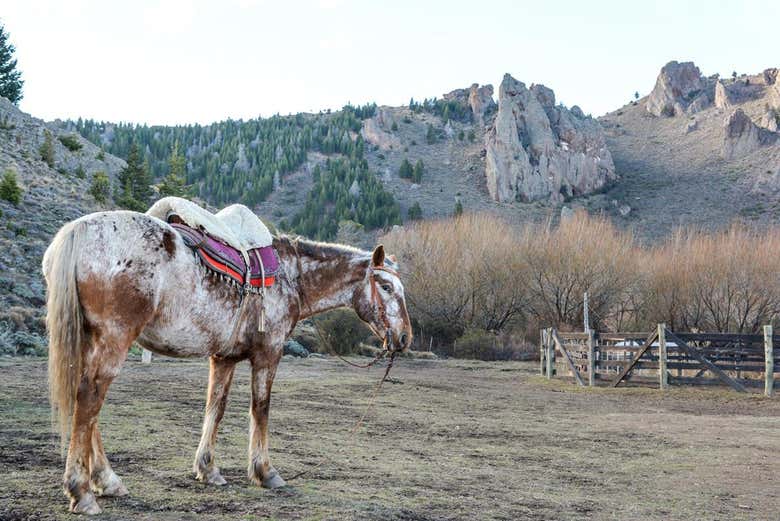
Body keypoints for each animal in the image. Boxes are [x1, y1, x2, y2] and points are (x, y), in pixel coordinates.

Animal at [42, 209, 412, 515]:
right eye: (385, 286)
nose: (405, 337)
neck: (290, 275)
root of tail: (79, 230)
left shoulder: (224, 358)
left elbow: (215, 408)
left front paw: (208, 469)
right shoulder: (268, 354)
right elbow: (260, 409)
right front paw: (265, 472)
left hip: (90, 340)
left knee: (87, 406)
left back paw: (107, 481)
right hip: (114, 339)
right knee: (89, 400)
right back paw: (82, 492)